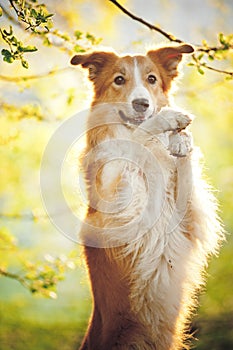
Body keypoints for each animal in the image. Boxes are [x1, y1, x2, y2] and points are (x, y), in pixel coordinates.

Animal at [70, 44, 222, 350]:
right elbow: (136, 139)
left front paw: (181, 141)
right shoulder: (123, 202)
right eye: (119, 80)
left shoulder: (188, 218)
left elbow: (186, 173)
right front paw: (169, 120)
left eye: (152, 79)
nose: (142, 104)